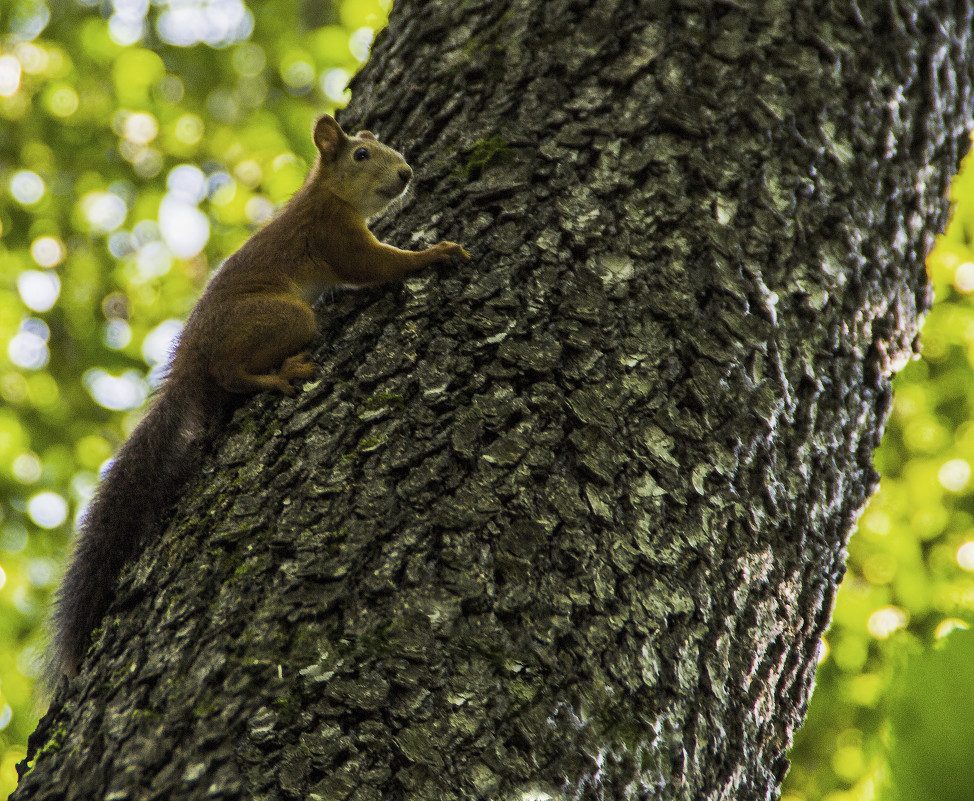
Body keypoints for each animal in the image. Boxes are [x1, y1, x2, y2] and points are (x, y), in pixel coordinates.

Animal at [47, 114, 470, 688]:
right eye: (361, 155)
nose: (406, 173)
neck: (327, 193)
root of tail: (189, 364)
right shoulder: (334, 235)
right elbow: (377, 265)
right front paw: (436, 253)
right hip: (285, 317)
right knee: (234, 371)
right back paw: (278, 376)